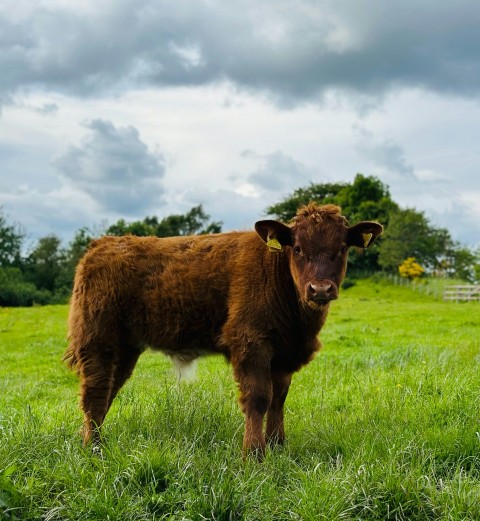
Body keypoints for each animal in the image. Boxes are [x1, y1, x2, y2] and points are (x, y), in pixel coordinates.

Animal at [63, 201, 382, 458]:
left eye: (342, 248)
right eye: (299, 248)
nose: (320, 289)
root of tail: (103, 244)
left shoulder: (284, 354)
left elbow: (279, 399)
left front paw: (278, 446)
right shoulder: (250, 343)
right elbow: (258, 398)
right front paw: (253, 454)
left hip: (126, 347)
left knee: (107, 391)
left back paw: (89, 441)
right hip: (98, 341)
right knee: (95, 393)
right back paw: (94, 449)